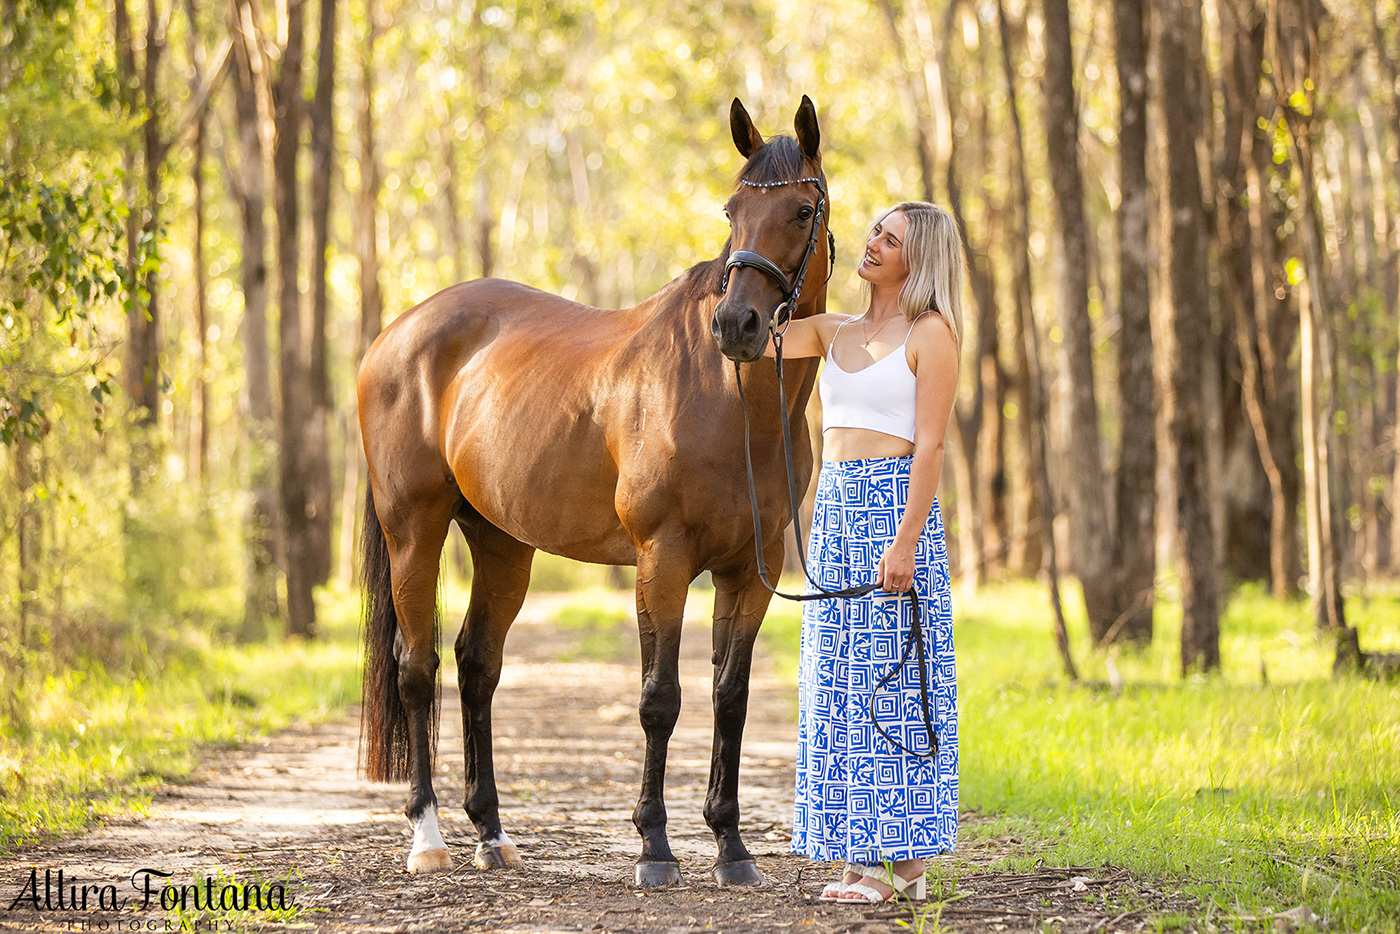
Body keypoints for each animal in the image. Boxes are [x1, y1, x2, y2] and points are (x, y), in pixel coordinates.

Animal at [355, 96, 828, 890]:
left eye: (800, 210)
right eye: (731, 210)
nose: (736, 325)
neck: (729, 401)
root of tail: (396, 334)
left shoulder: (749, 573)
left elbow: (728, 698)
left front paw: (732, 848)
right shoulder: (662, 560)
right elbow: (659, 700)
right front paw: (655, 847)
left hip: (502, 543)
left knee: (477, 664)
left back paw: (492, 833)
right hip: (412, 531)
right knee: (416, 670)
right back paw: (428, 837)